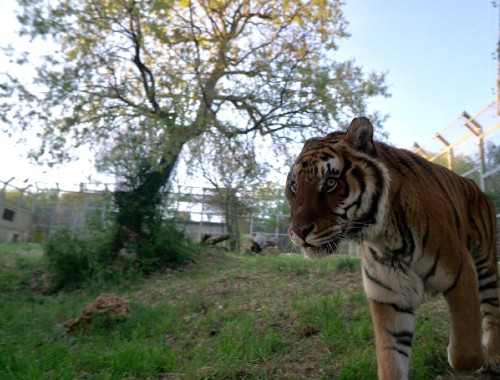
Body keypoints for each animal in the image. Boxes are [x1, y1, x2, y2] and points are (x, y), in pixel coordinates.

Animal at [286, 117, 500, 378]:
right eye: (294, 186)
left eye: (330, 183)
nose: (298, 231)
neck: (384, 237)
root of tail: (477, 187)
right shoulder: (387, 297)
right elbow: (391, 362)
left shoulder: (461, 273)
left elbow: (464, 353)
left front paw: (475, 356)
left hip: (485, 264)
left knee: (492, 311)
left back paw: (493, 356)